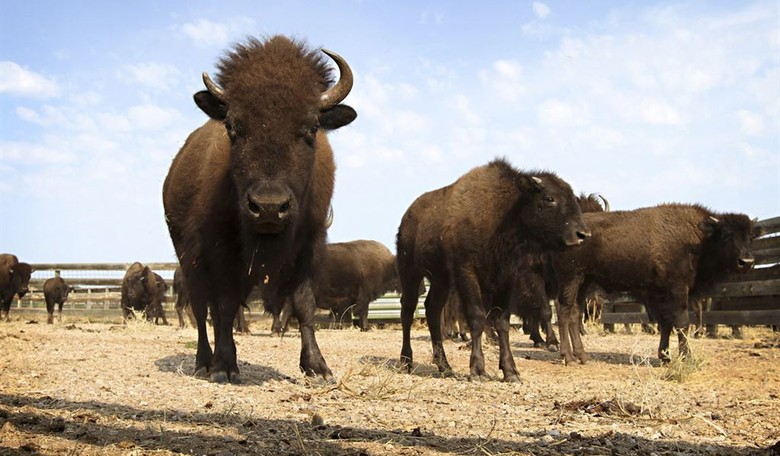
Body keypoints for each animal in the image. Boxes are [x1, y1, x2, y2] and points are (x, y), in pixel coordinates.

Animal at [163, 35, 356, 383]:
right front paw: (224, 367)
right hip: (189, 263)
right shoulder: (220, 252)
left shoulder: (309, 246)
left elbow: (303, 303)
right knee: (202, 310)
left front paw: (318, 367)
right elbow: (225, 306)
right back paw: (204, 362)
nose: (268, 207)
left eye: (311, 127)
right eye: (232, 126)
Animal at [396, 158, 590, 382]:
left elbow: (502, 321)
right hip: (410, 271)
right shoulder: (467, 273)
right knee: (407, 310)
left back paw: (445, 367)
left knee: (432, 310)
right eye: (549, 198)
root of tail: (407, 217)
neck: (504, 212)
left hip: (440, 279)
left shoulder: (507, 278)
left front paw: (510, 372)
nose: (582, 234)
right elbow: (477, 317)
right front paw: (478, 370)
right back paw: (406, 361)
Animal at [553, 203, 757, 364]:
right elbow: (681, 323)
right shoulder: (677, 290)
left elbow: (666, 323)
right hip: (572, 278)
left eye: (750, 236)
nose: (746, 261)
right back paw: (568, 357)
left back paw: (582, 356)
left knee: (574, 313)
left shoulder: (661, 295)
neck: (699, 239)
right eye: (726, 234)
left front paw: (665, 356)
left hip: (584, 281)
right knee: (564, 311)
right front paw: (686, 357)